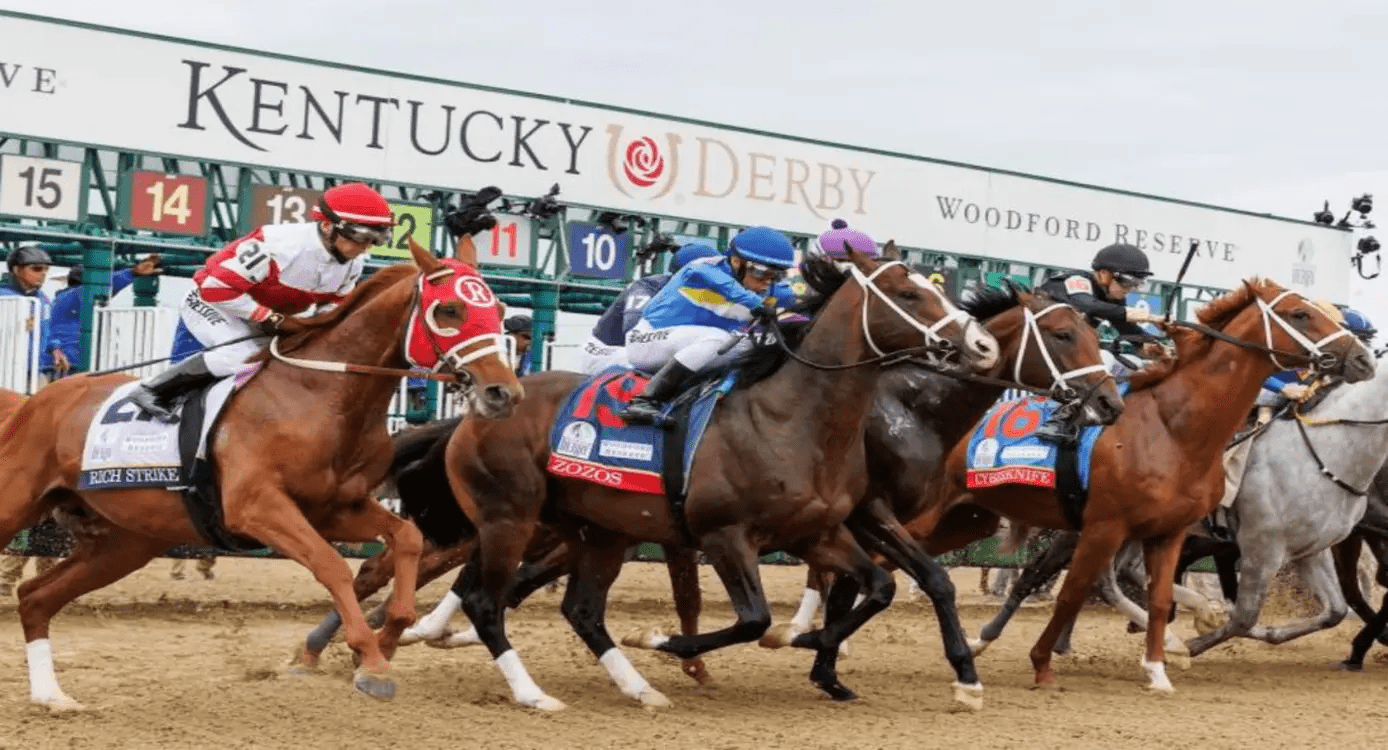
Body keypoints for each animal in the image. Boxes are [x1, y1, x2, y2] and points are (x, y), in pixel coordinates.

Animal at [0, 236, 521, 708]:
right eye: (450, 309)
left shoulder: (336, 508)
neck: (319, 396)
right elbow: (332, 565)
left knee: (35, 597)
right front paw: (369, 661)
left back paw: (52, 697)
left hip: (123, 541)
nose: (504, 393)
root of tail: (32, 402)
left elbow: (407, 539)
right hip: (18, 505)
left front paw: (389, 636)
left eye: (496, 308)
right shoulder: (257, 508)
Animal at [441, 244, 999, 708]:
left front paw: (807, 645)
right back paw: (530, 692)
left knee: (581, 609)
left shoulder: (816, 532)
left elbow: (879, 586)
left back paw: (638, 688)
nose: (984, 344)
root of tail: (482, 406)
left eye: (940, 289)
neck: (791, 420)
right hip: (509, 517)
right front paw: (659, 638)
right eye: (909, 293)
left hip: (599, 527)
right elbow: (754, 620)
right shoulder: (725, 534)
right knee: (484, 601)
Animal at [921, 279, 1376, 691]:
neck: (1174, 429)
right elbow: (1078, 590)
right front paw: (1043, 661)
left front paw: (1162, 662)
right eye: (1300, 314)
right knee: (1046, 574)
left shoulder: (1180, 532)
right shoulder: (1119, 526)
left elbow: (1161, 599)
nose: (1363, 358)